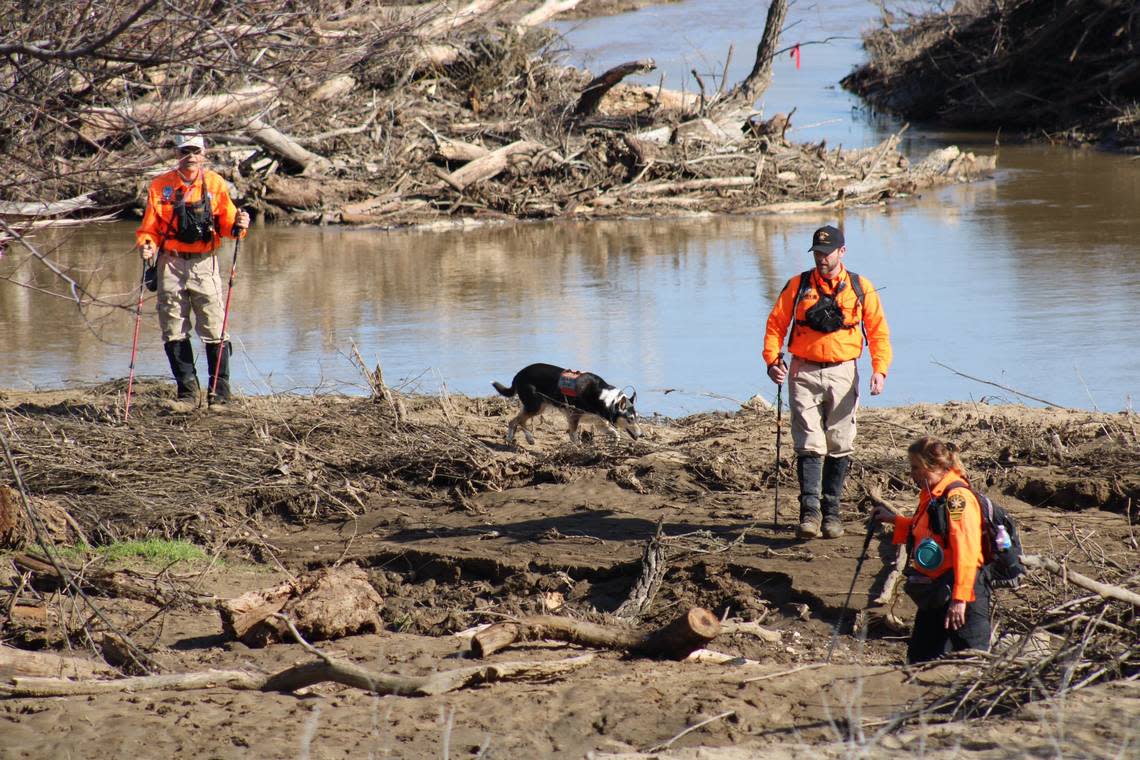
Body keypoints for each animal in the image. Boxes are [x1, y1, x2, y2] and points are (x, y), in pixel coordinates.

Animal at [490, 364, 642, 446]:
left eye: (637, 418)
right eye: (630, 419)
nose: (642, 435)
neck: (604, 398)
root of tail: (518, 374)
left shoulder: (599, 423)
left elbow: (616, 434)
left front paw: (615, 443)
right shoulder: (573, 416)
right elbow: (573, 436)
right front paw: (578, 448)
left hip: (537, 407)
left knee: (515, 421)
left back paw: (517, 438)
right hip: (535, 406)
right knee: (517, 420)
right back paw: (523, 438)